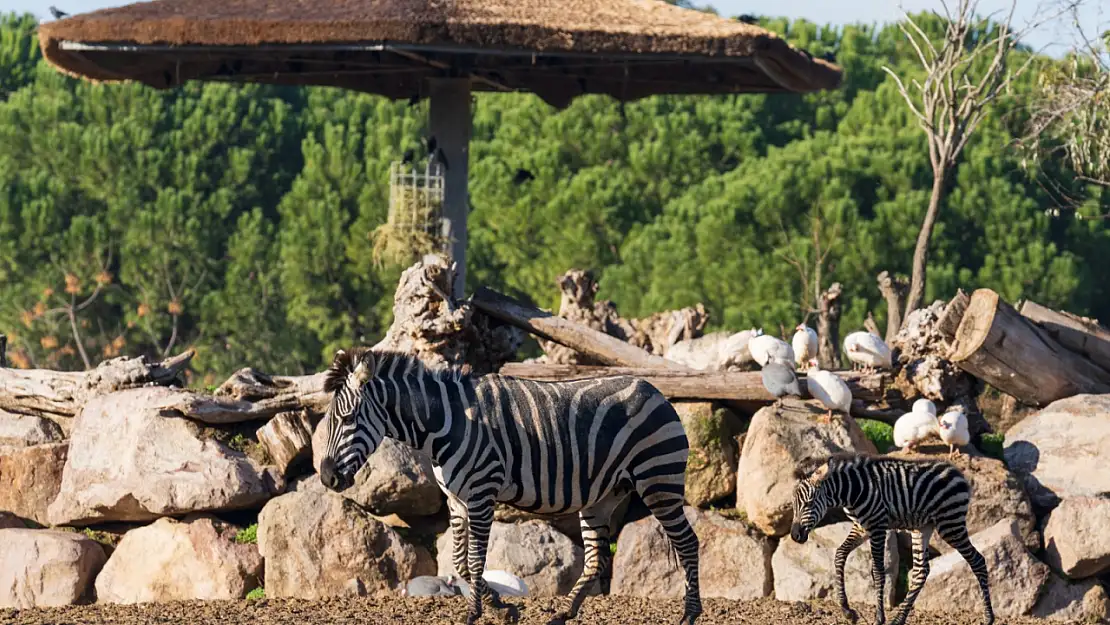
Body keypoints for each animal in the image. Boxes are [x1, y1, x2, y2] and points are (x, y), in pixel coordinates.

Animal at [317, 350, 697, 625]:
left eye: (348, 419)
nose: (326, 477)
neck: (445, 424)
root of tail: (655, 390)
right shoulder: (456, 502)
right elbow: (459, 561)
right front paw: (502, 608)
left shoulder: (481, 494)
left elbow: (474, 560)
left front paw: (475, 613)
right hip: (603, 496)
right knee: (596, 557)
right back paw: (564, 612)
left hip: (658, 480)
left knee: (687, 542)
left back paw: (690, 614)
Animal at [790, 452, 999, 625]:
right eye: (793, 505)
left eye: (809, 503)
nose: (794, 535)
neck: (855, 491)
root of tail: (958, 473)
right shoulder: (861, 527)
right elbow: (840, 554)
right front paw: (847, 611)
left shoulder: (878, 526)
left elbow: (878, 571)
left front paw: (879, 618)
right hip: (922, 527)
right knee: (921, 571)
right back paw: (898, 619)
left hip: (950, 524)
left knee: (977, 560)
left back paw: (988, 617)